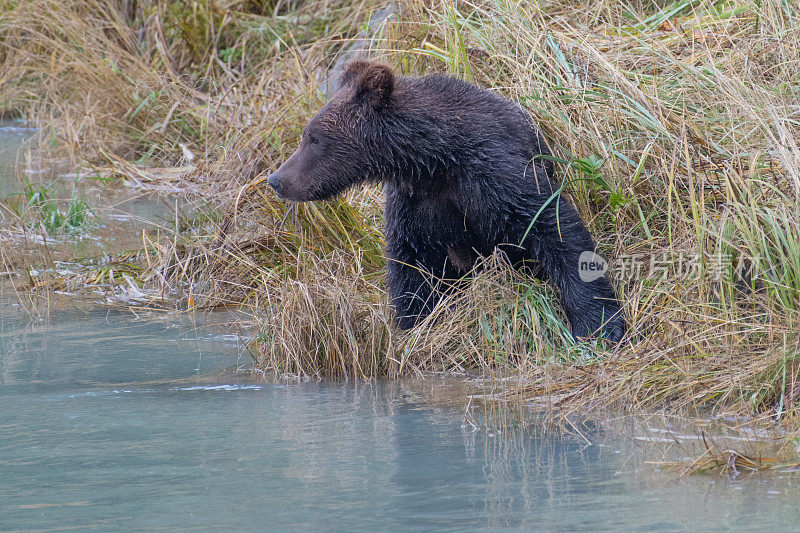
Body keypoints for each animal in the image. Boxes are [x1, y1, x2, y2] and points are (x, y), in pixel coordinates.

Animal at [268, 59, 624, 340]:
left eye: (313, 138)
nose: (276, 179)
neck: (433, 158)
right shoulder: (416, 205)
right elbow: (413, 267)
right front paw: (414, 324)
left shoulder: (493, 172)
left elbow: (552, 226)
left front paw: (598, 326)